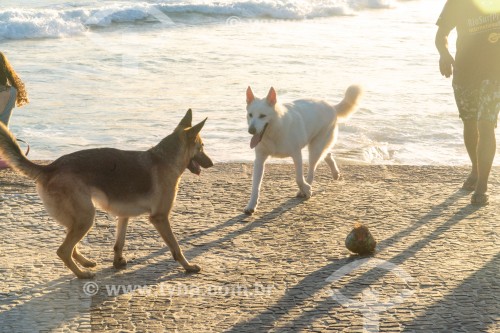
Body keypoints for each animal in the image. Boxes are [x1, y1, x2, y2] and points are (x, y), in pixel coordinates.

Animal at [0, 109, 213, 278]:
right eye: (201, 147)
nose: (212, 163)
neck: (164, 158)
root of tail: (50, 167)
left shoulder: (124, 215)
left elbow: (119, 243)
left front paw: (117, 262)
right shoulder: (160, 218)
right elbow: (176, 247)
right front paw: (187, 266)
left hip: (78, 218)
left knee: (71, 247)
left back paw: (84, 263)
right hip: (86, 217)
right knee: (63, 251)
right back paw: (82, 274)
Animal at [244, 84, 362, 214]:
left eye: (262, 116)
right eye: (250, 115)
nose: (251, 130)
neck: (275, 131)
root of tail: (332, 107)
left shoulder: (296, 154)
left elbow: (299, 179)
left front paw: (306, 189)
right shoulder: (259, 160)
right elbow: (255, 186)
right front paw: (251, 205)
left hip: (314, 149)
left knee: (312, 170)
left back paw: (305, 189)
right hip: (318, 146)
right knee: (327, 154)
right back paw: (335, 173)